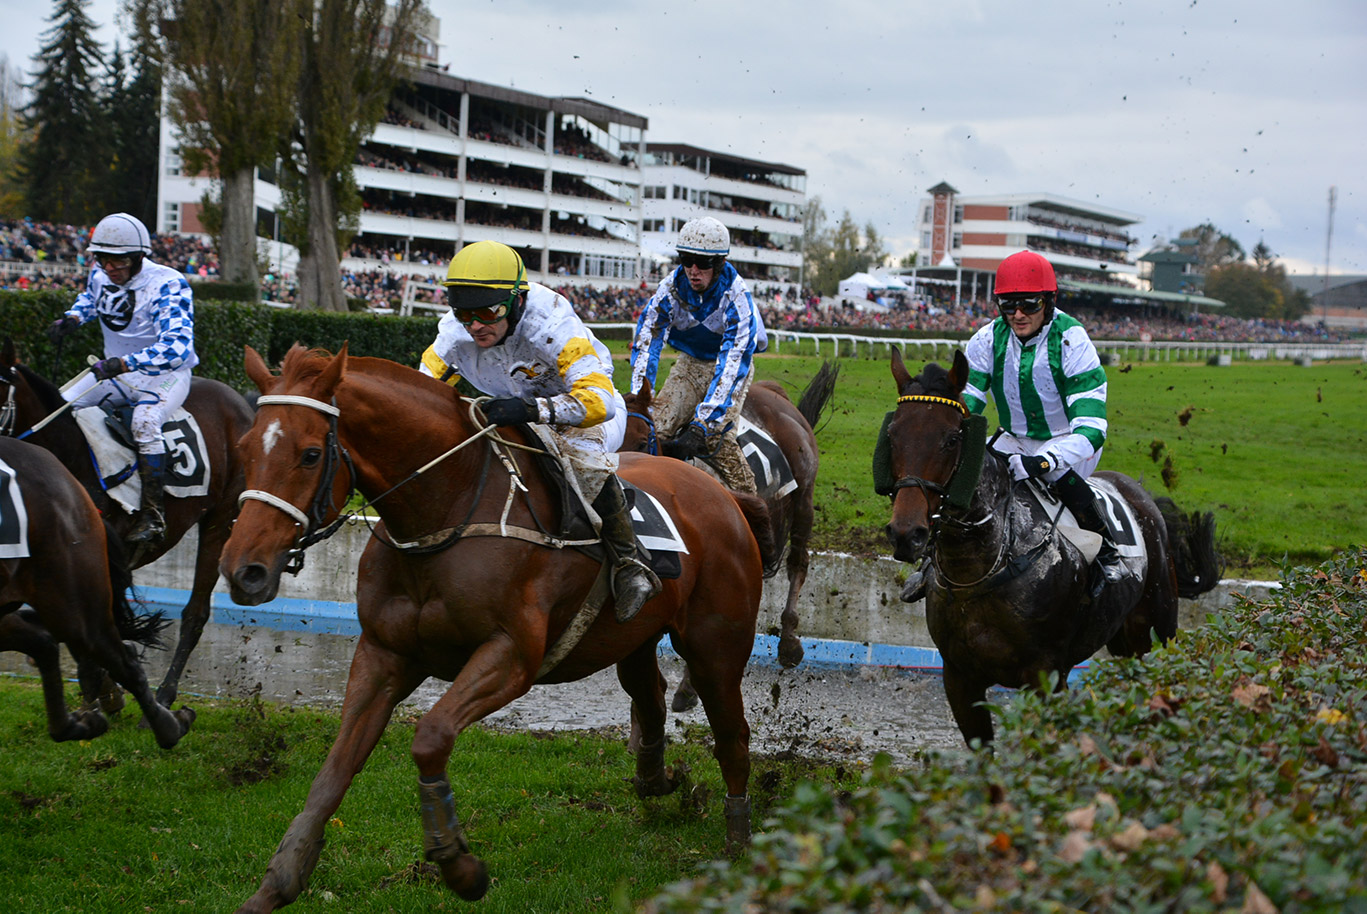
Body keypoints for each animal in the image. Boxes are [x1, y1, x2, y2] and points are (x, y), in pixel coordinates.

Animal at [0, 338, 256, 710]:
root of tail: (242, 404)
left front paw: (102, 692)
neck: (70, 456)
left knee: (195, 613)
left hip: (219, 522)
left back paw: (164, 694)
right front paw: (106, 689)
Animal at [213, 344, 770, 912]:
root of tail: (722, 495)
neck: (449, 511)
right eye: (245, 447)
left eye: (308, 454)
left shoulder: (511, 657)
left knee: (732, 736)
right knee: (650, 696)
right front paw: (279, 880)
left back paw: (738, 841)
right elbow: (336, 767)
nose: (243, 569)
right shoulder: (382, 654)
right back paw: (658, 779)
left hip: (715, 645)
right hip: (631, 636)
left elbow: (430, 737)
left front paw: (459, 867)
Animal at [620, 360, 831, 710]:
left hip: (804, 498)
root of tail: (775, 394)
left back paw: (789, 643)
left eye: (639, 443)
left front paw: (688, 687)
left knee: (798, 563)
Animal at [880, 345, 1224, 743]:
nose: (907, 533)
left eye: (952, 439)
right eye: (892, 434)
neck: (986, 565)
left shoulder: (1046, 676)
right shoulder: (959, 677)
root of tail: (1142, 495)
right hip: (1124, 639)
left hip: (1158, 632)